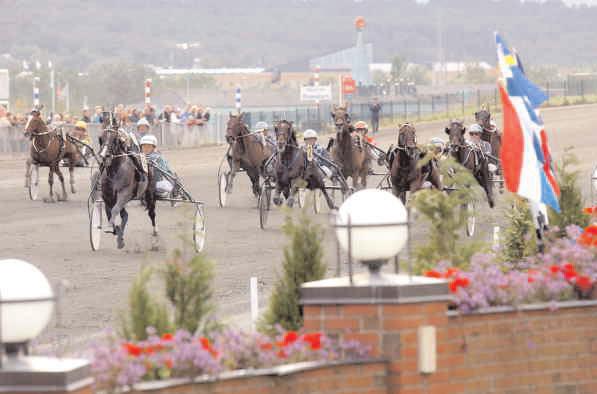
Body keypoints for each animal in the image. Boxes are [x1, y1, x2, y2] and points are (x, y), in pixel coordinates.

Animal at [96, 114, 156, 249]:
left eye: (114, 138)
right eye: (101, 137)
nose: (104, 155)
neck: (114, 172)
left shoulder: (124, 193)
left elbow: (114, 210)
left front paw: (113, 229)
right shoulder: (108, 197)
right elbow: (110, 212)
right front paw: (116, 232)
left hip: (150, 194)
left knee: (152, 213)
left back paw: (155, 233)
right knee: (125, 215)